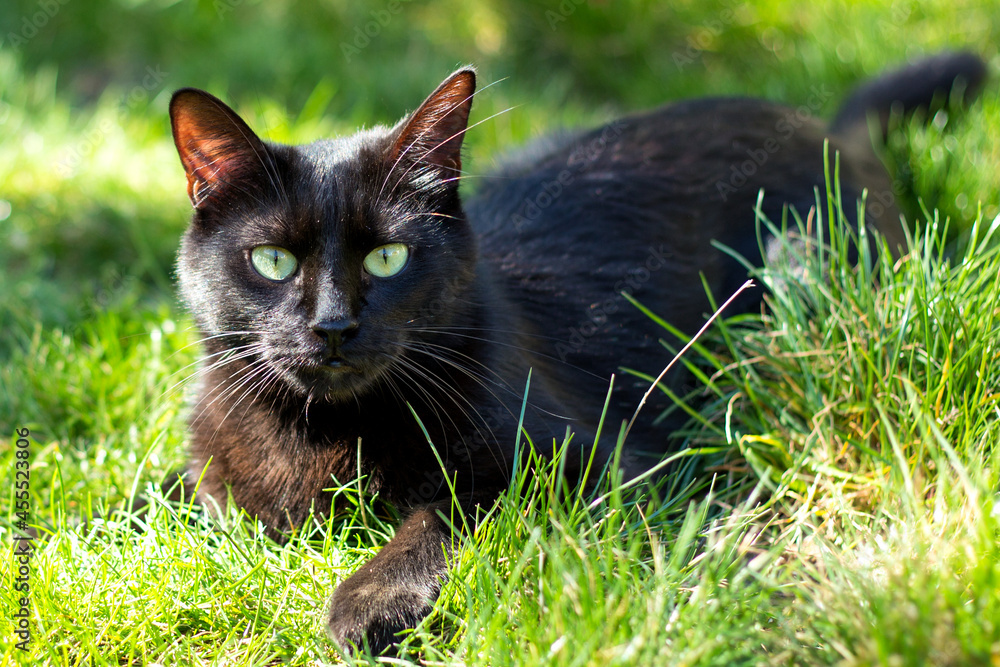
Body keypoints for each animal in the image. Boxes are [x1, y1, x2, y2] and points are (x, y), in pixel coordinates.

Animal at [170, 51, 984, 652]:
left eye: (388, 259)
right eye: (273, 261)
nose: (333, 325)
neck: (326, 434)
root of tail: (823, 130)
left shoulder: (585, 462)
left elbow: (447, 511)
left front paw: (369, 602)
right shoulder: (215, 476)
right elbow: (182, 500)